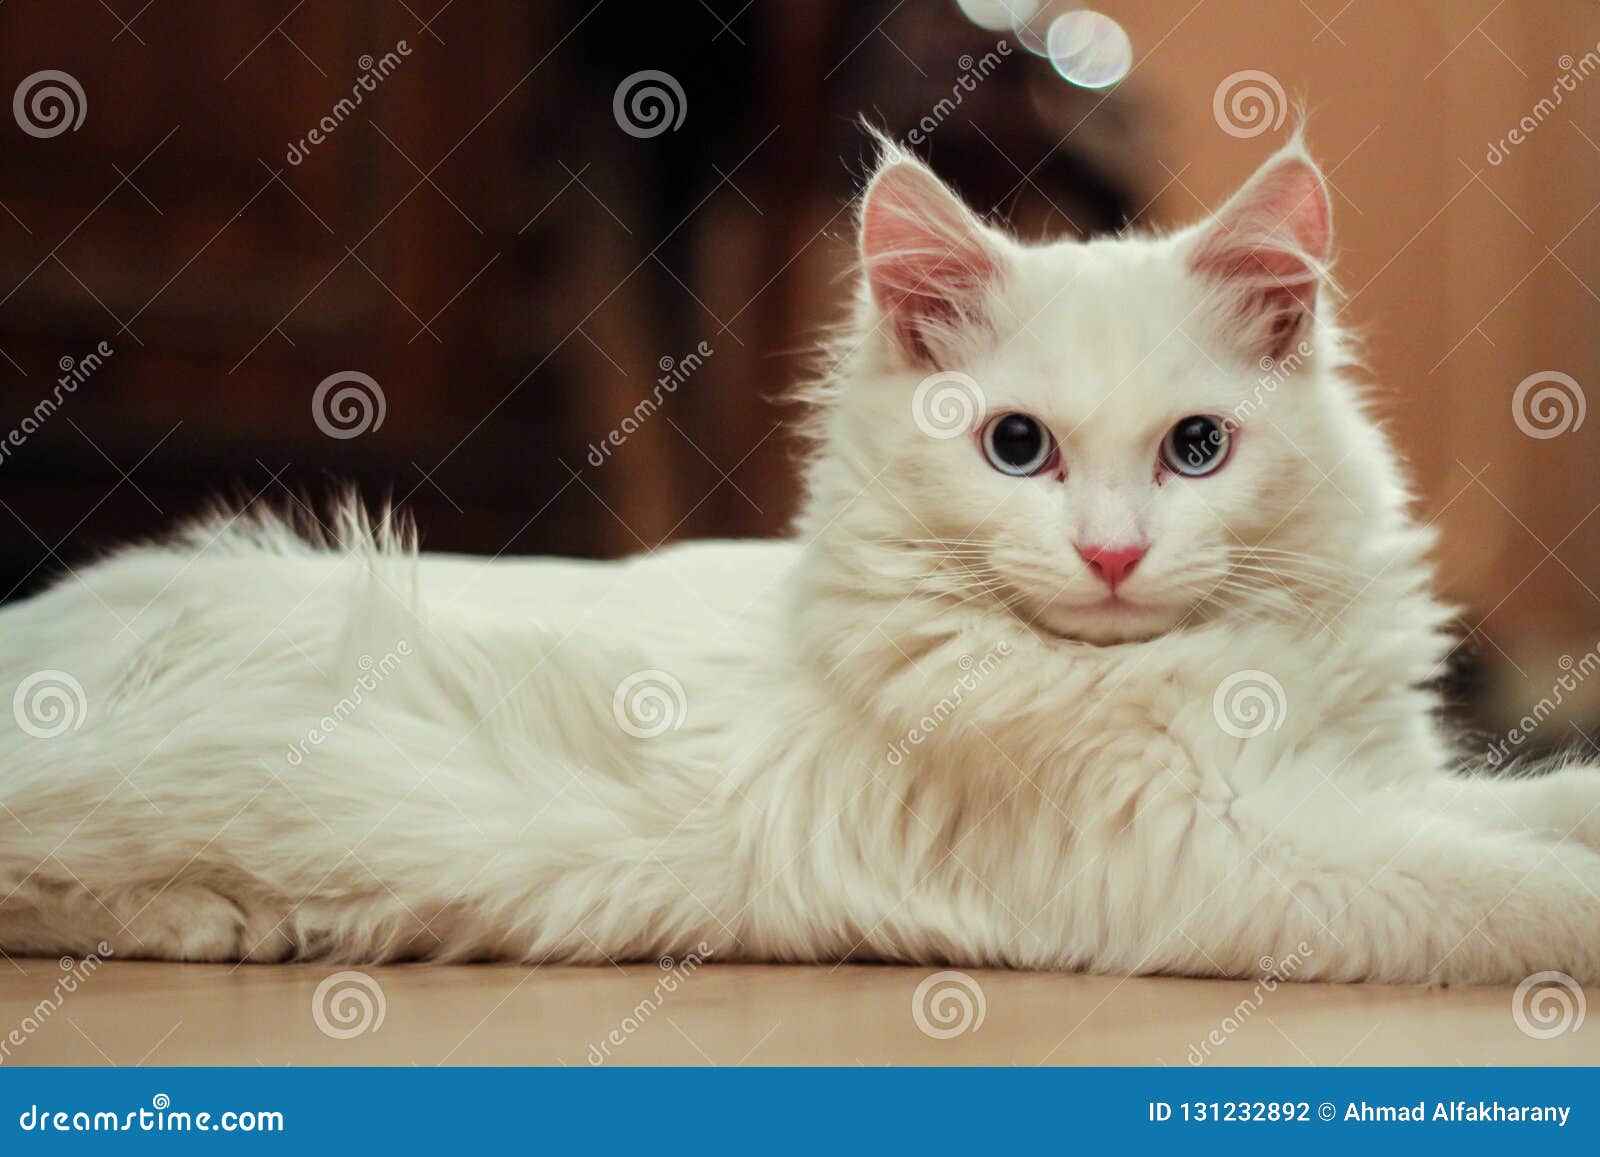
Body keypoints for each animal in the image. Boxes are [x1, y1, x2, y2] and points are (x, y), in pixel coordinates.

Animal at [3, 138, 1600, 985]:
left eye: (1197, 449)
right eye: (1016, 447)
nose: (1111, 552)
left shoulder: (1370, 782)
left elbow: (1546, 807)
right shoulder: (1237, 859)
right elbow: (1521, 889)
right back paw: (216, 920)